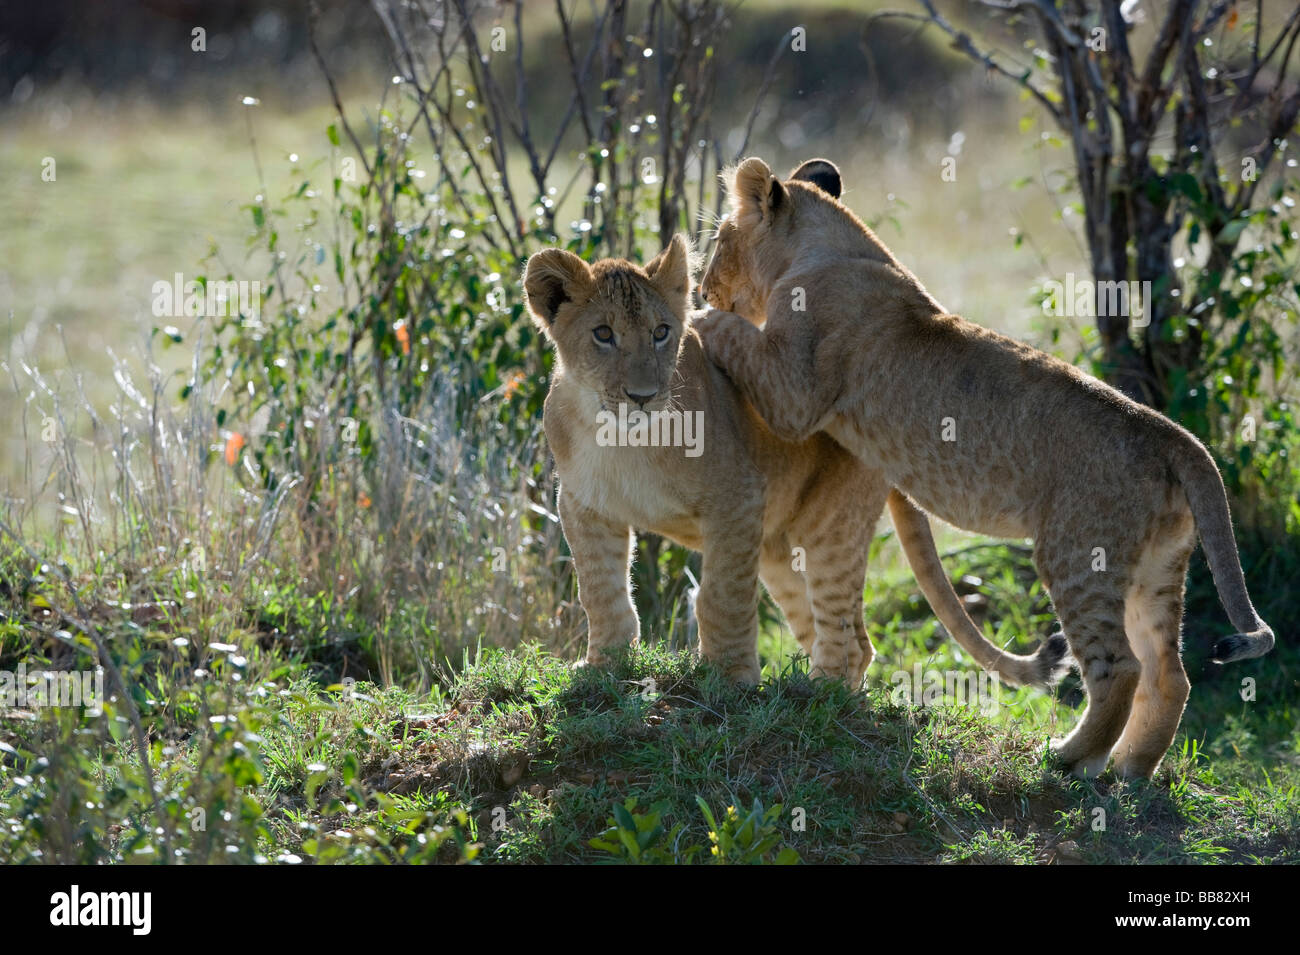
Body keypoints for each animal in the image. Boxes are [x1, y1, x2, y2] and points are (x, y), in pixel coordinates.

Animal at [523, 234, 1067, 688]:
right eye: (603, 334)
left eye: (660, 332)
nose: (642, 396)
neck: (619, 437)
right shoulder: (583, 505)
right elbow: (601, 591)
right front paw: (604, 667)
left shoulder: (737, 499)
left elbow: (721, 597)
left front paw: (731, 681)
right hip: (777, 552)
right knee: (842, 633)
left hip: (829, 527)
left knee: (851, 639)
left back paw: (819, 699)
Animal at [694, 156, 1276, 778]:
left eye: (720, 240)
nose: (703, 284)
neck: (827, 247)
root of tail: (1174, 435)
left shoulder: (795, 396)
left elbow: (732, 333)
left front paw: (693, 316)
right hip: (1158, 567)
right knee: (1171, 674)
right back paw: (1129, 773)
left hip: (1079, 553)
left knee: (1120, 668)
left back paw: (1069, 759)